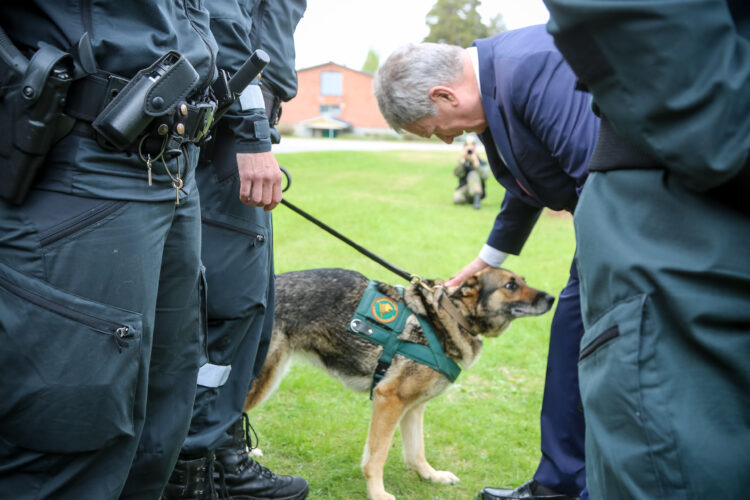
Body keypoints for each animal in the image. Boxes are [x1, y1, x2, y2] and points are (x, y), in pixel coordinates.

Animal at [244, 270, 556, 500]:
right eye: (511, 285)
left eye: (523, 280)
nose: (552, 297)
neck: (448, 315)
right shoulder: (389, 399)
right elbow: (376, 457)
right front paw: (378, 494)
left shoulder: (413, 407)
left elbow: (417, 451)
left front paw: (431, 476)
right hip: (263, 378)